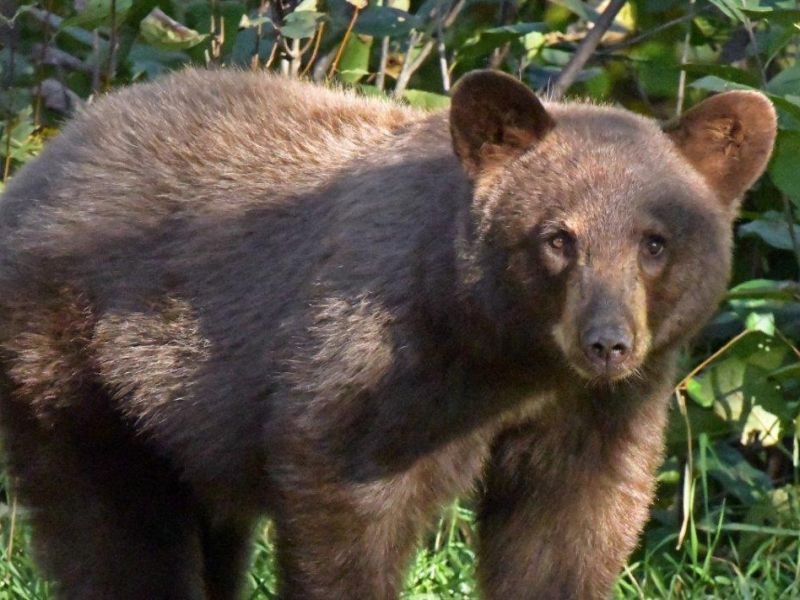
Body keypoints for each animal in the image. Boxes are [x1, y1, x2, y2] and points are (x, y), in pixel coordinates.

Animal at [0, 68, 776, 599]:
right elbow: (347, 504)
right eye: (558, 238)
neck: (508, 357)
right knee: (116, 533)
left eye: (655, 242)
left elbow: (567, 531)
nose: (607, 343)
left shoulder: (596, 411)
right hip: (79, 371)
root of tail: (39, 168)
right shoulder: (380, 368)